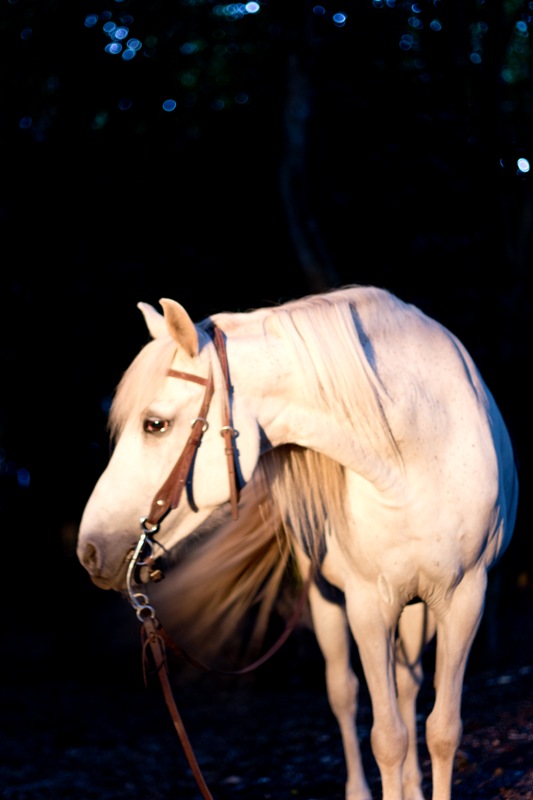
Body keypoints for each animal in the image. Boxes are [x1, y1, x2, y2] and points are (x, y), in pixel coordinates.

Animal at [77, 284, 519, 800]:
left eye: (155, 424)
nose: (89, 549)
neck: (415, 450)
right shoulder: (368, 606)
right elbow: (387, 737)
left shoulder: (464, 599)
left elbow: (442, 730)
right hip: (330, 601)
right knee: (344, 694)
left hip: (417, 608)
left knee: (407, 687)